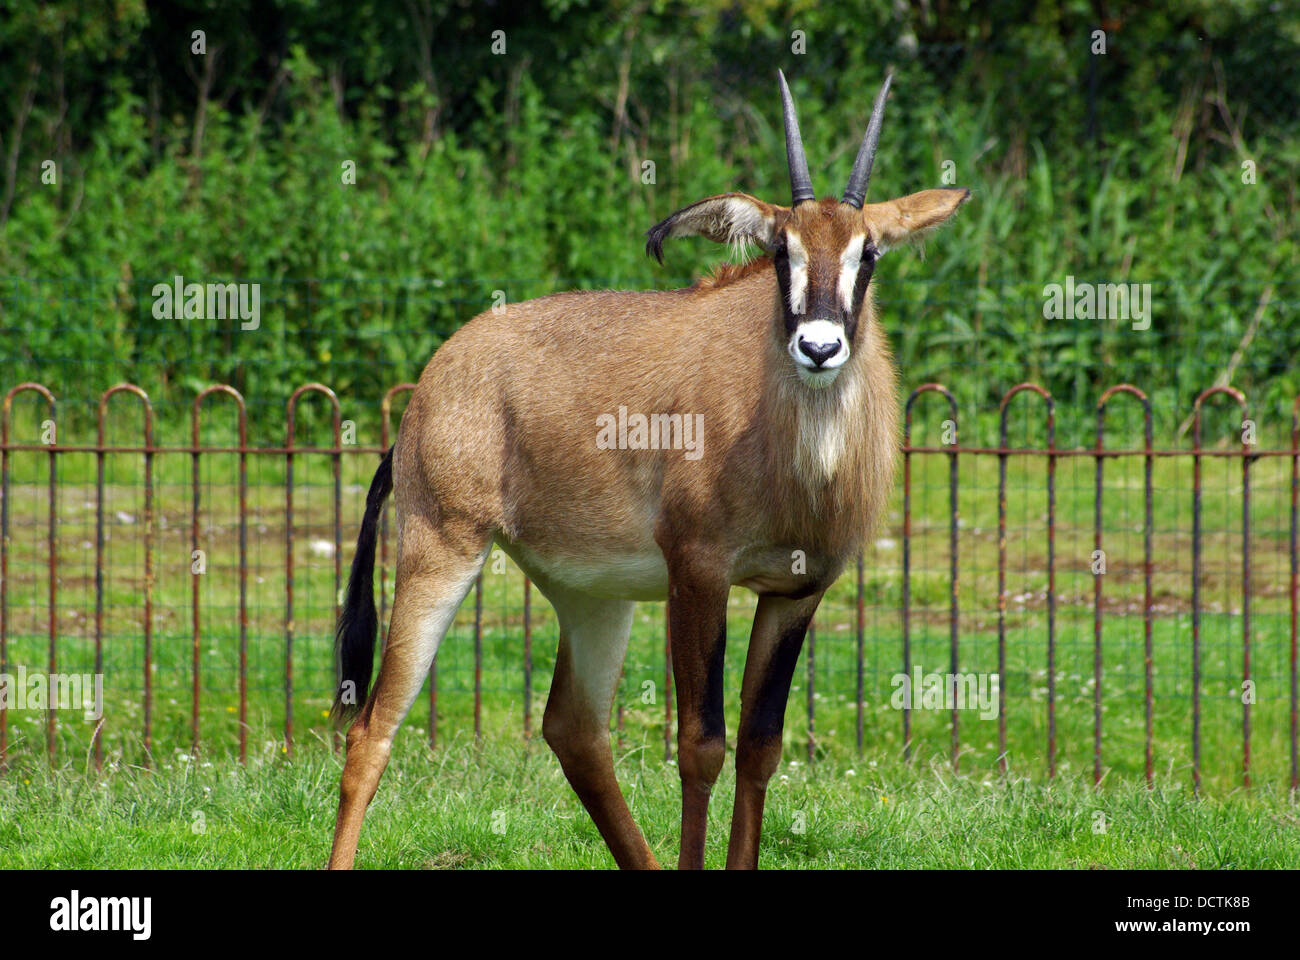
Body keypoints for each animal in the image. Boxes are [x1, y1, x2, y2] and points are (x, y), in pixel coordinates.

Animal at [330, 70, 972, 868]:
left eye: (869, 254)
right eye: (781, 251)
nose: (818, 348)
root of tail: (432, 381)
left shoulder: (796, 591)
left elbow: (760, 748)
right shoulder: (698, 571)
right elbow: (702, 746)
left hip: (593, 597)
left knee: (574, 730)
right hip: (441, 549)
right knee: (373, 729)